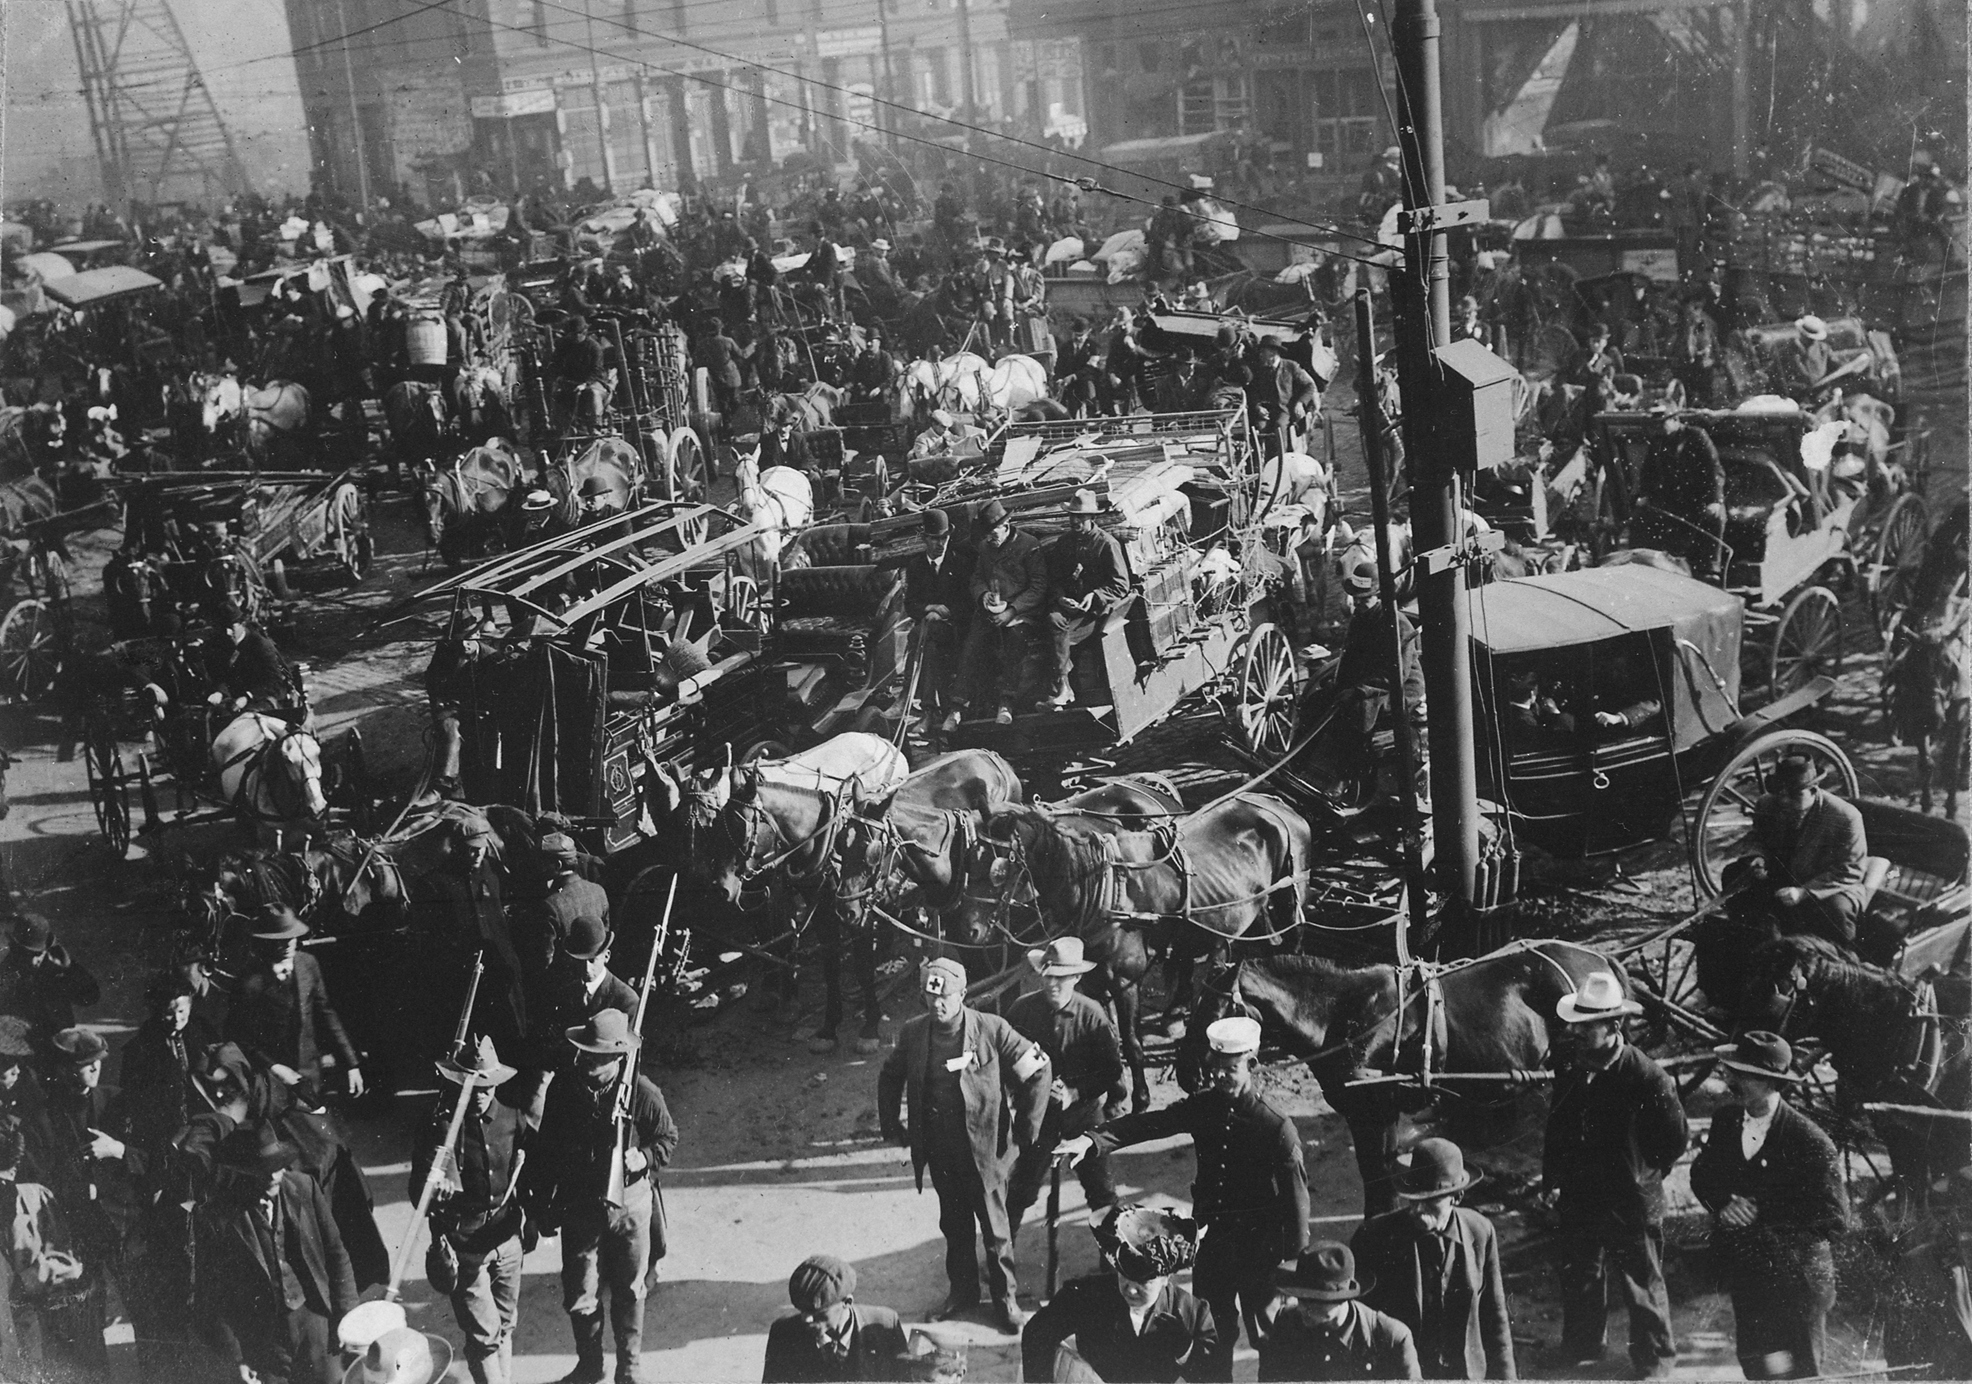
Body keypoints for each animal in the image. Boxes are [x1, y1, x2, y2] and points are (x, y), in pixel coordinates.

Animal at [1175, 942, 1624, 1214]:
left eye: (1213, 1008)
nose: (1183, 1071)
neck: (1346, 1014)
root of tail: (1601, 960)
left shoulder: (1374, 1111)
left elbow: (1379, 1176)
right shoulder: (1380, 1114)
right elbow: (1381, 1175)